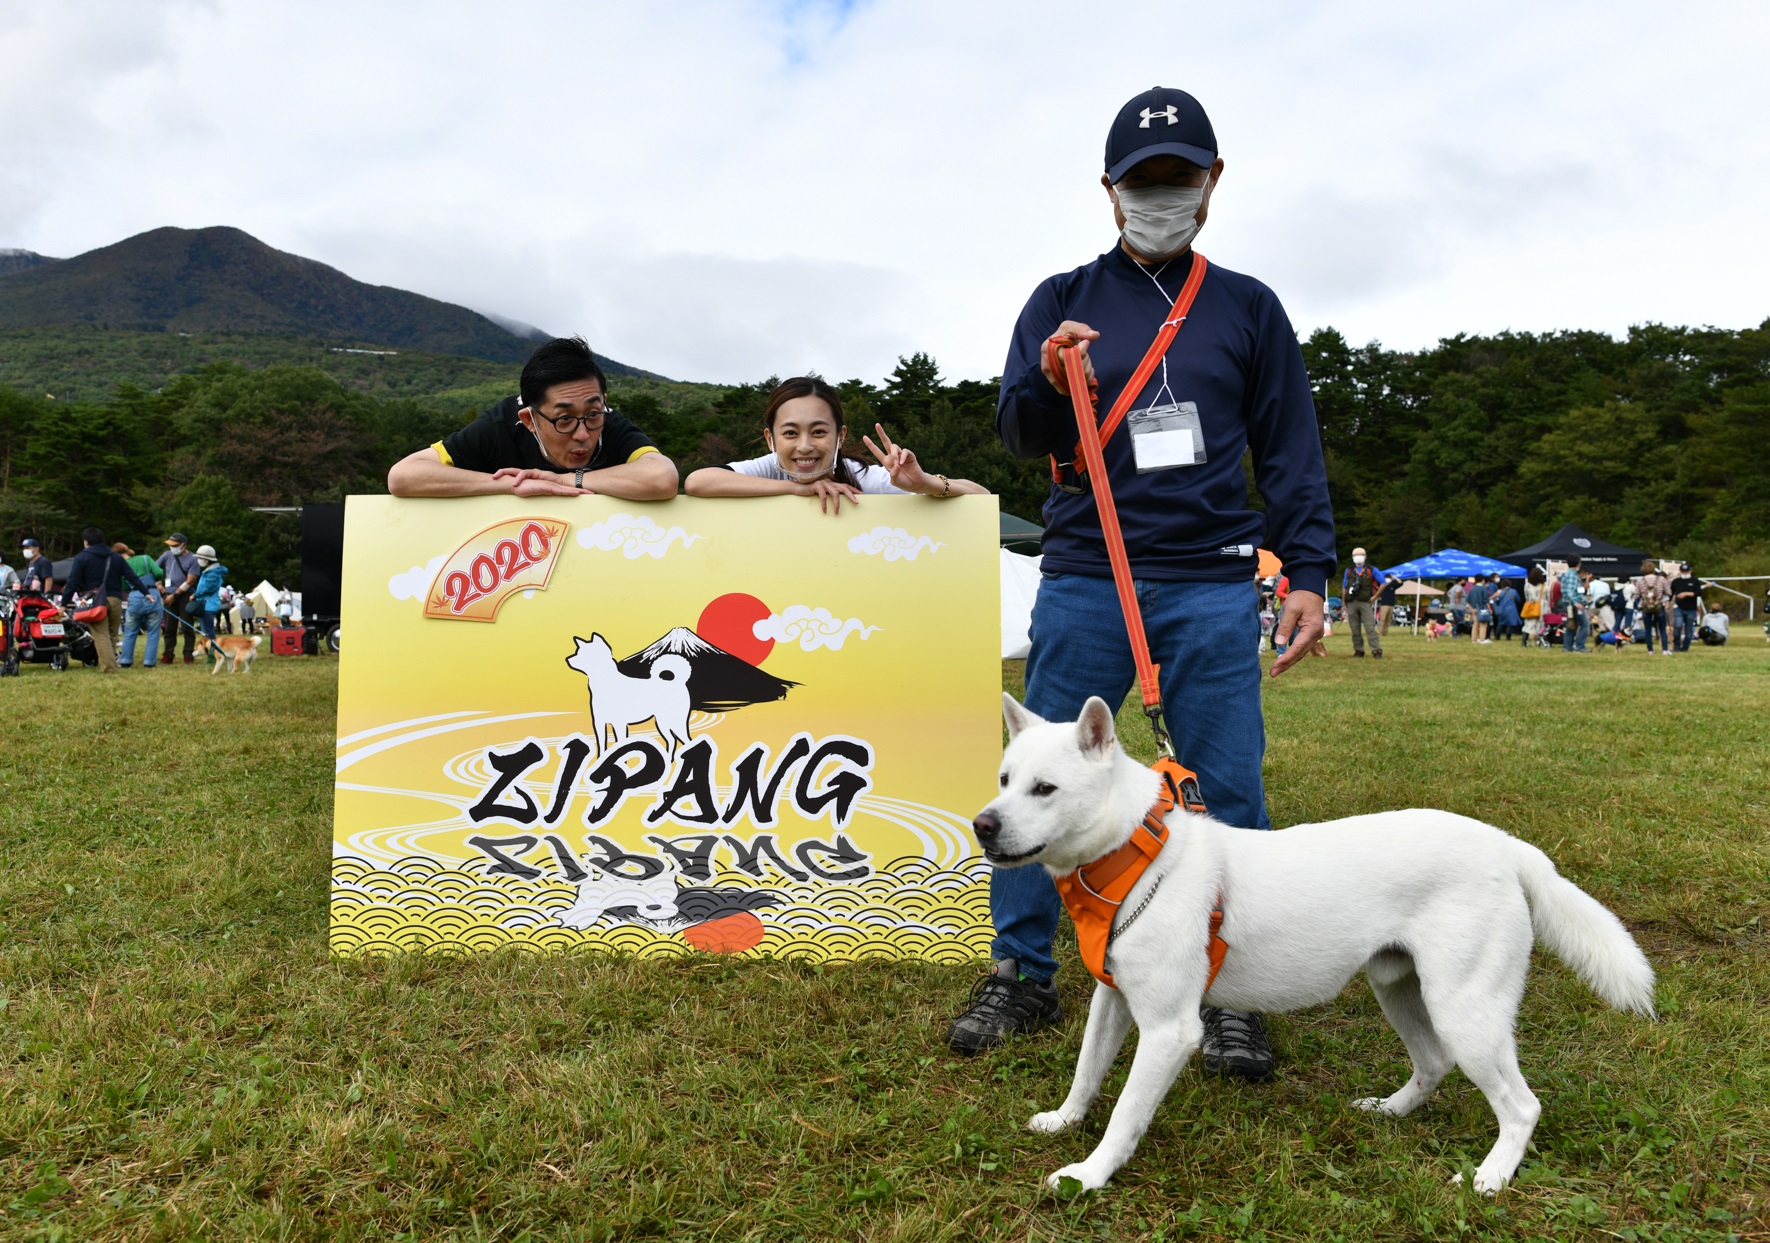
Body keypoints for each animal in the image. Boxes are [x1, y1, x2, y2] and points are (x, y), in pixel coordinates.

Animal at [977, 701, 1649, 1196]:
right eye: (1004, 780)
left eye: (1045, 789)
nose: (983, 825)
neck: (1136, 863)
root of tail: (1508, 846)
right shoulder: (1112, 1000)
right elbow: (1087, 1073)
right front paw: (1064, 1121)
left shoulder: (1169, 1031)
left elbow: (1123, 1115)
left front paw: (1088, 1176)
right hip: (1399, 989)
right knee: (1433, 1063)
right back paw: (1390, 1111)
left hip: (1466, 1012)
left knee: (1521, 1106)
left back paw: (1490, 1178)